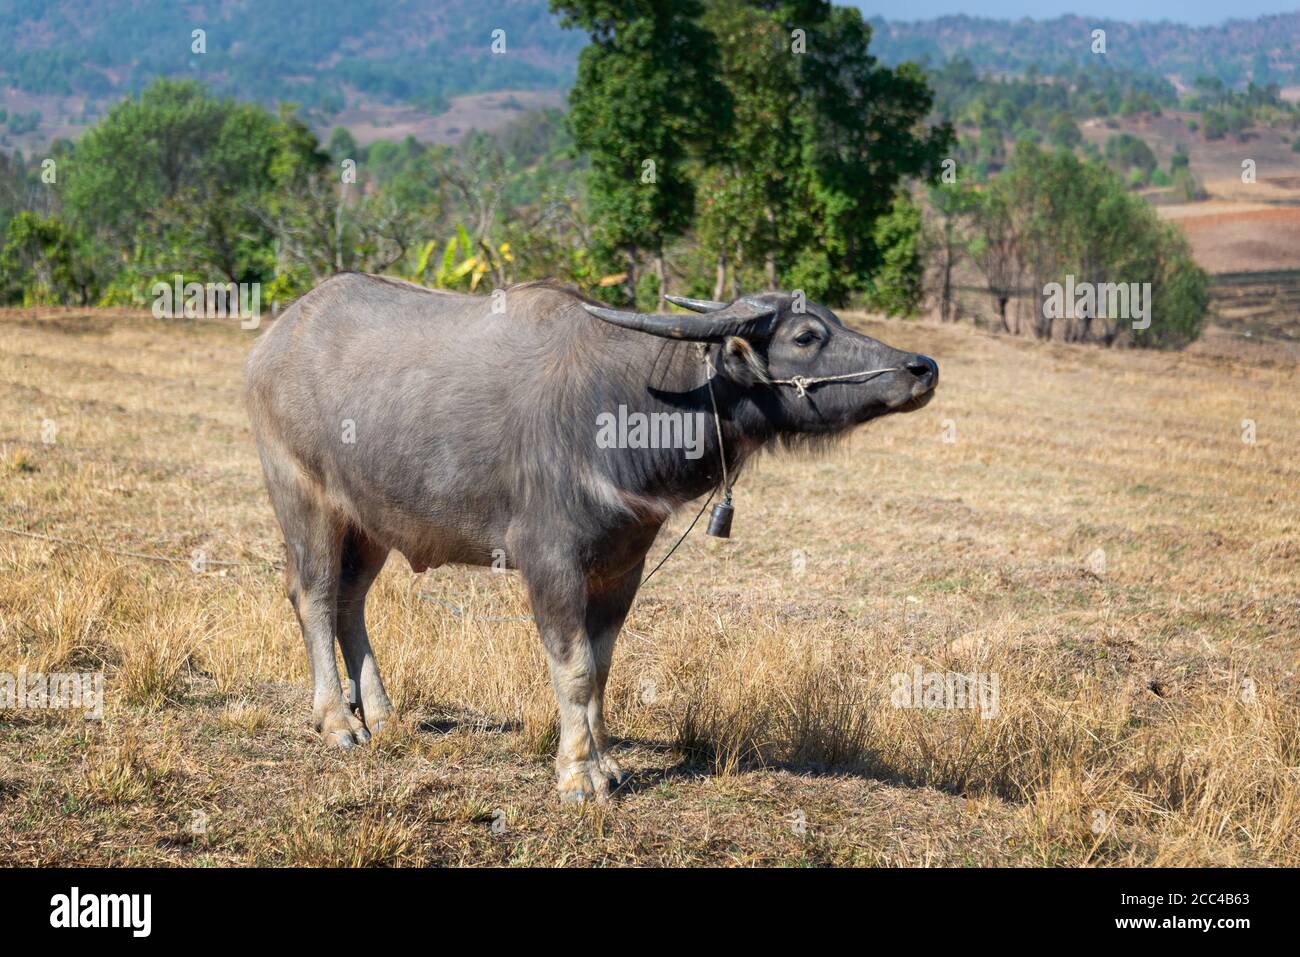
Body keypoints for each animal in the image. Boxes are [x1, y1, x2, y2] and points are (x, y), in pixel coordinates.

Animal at [244, 274, 935, 800]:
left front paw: (605, 759)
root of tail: (275, 339)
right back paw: (338, 721)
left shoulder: (622, 564)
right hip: (303, 499)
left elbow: (602, 664)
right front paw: (577, 774)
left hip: (372, 521)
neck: (628, 403)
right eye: (806, 336)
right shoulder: (548, 561)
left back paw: (383, 715)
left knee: (351, 601)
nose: (921, 366)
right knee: (313, 596)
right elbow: (573, 667)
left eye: (832, 320)